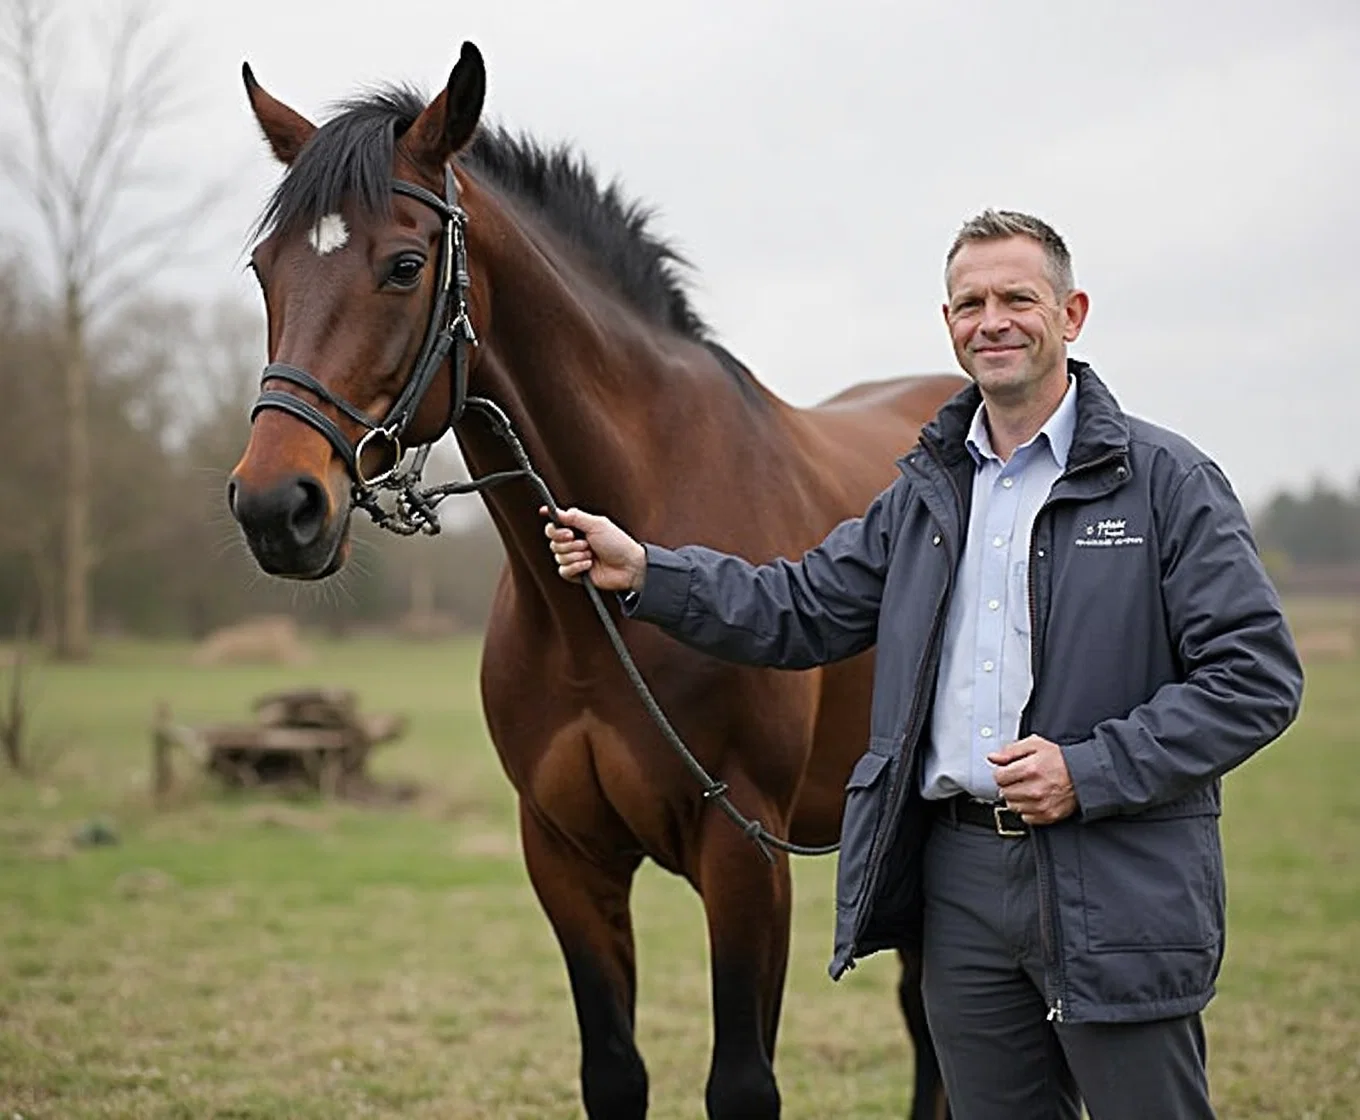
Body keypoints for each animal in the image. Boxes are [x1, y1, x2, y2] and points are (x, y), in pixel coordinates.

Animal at [228, 39, 962, 1114]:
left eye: (404, 266)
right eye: (264, 269)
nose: (275, 508)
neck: (594, 618)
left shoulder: (747, 856)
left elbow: (742, 1082)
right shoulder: (567, 857)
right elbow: (613, 1071)